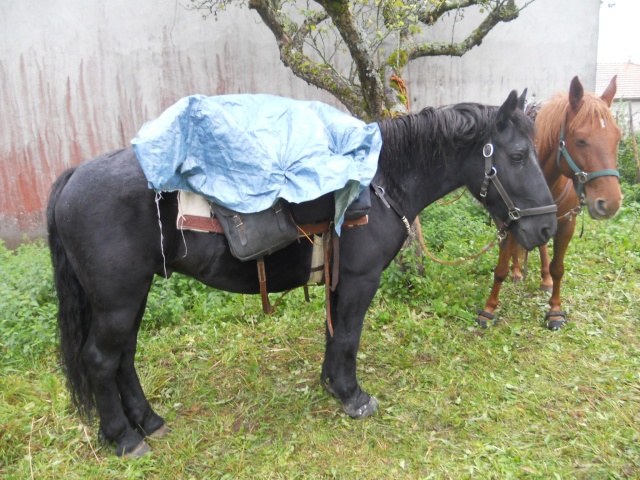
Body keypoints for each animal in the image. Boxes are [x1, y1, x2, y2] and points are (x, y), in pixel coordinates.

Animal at [47, 91, 556, 458]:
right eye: (516, 155)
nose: (547, 226)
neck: (381, 180)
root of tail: (73, 177)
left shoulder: (339, 279)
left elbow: (334, 334)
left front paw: (332, 385)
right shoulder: (360, 278)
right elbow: (348, 335)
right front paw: (353, 396)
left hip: (131, 295)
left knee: (124, 357)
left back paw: (148, 421)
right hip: (118, 299)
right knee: (101, 360)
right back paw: (124, 438)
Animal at [478, 76, 624, 330]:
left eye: (617, 138)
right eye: (580, 140)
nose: (610, 203)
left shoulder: (566, 224)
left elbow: (558, 268)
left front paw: (555, 310)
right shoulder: (508, 223)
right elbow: (501, 268)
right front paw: (489, 309)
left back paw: (544, 279)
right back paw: (518, 272)